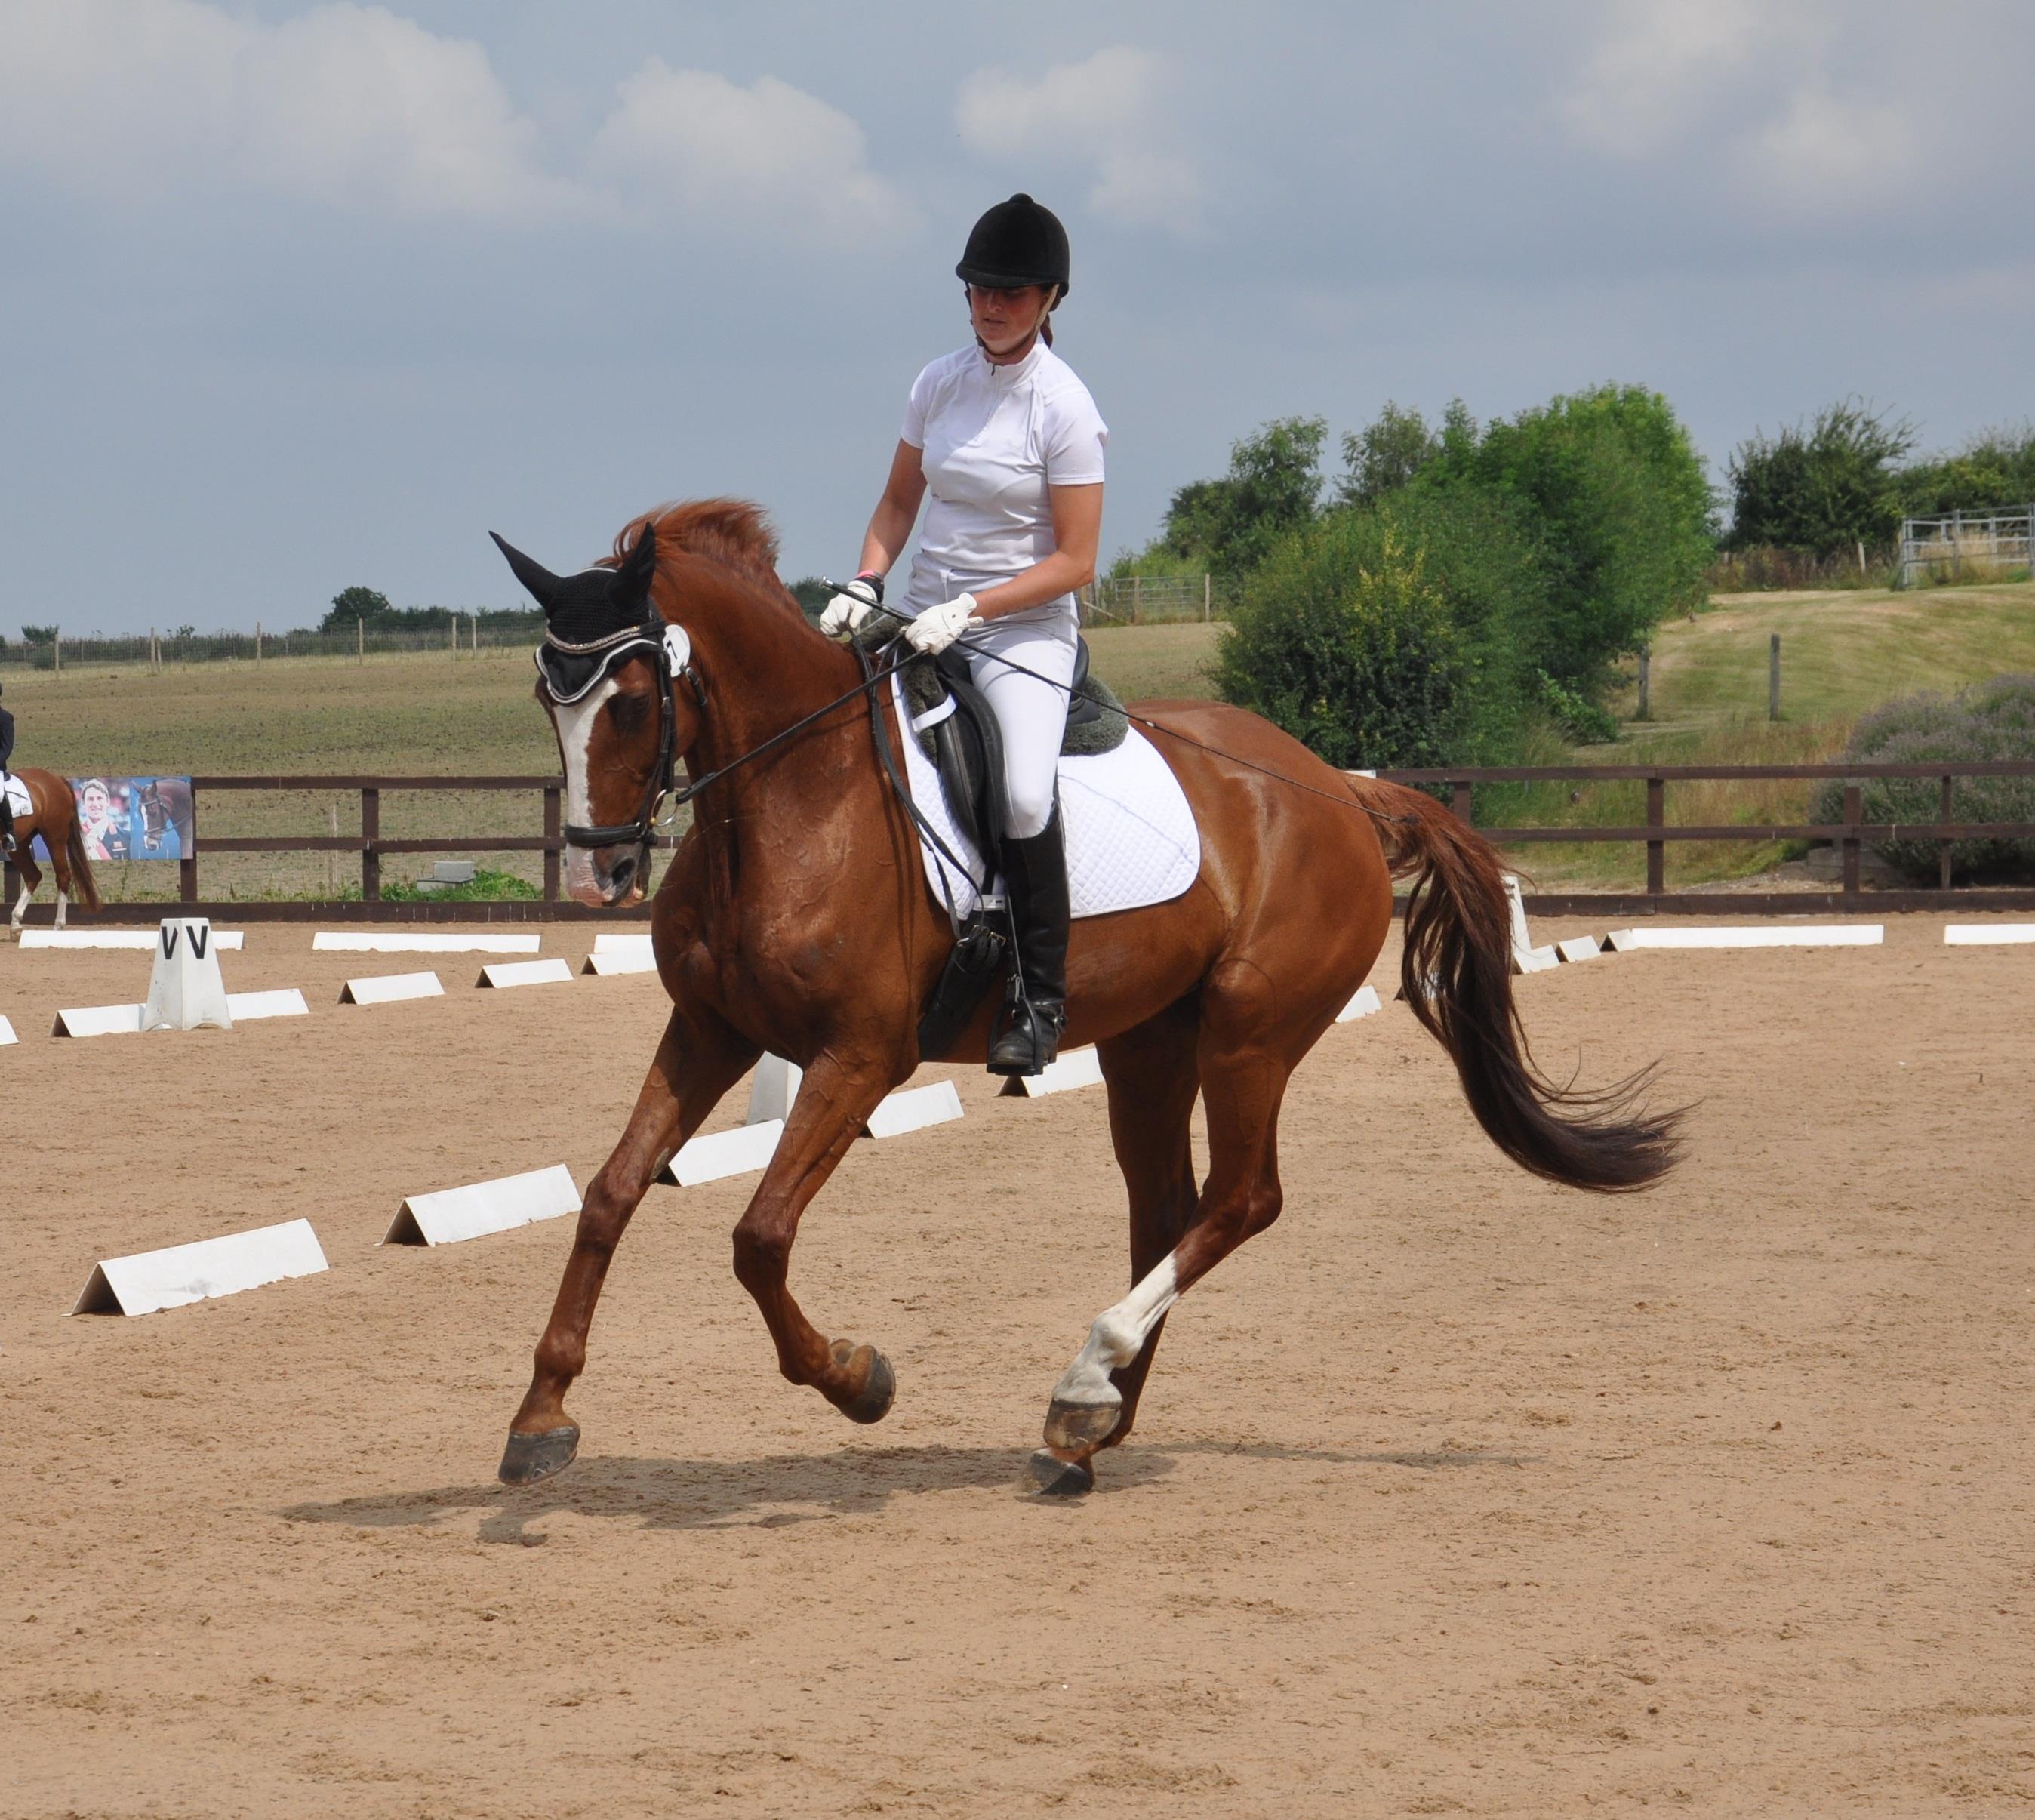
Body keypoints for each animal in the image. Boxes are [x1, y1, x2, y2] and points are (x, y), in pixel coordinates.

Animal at [5, 768, 101, 935]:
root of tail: (57, 778)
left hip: (55, 837)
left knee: (63, 877)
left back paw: (57, 927)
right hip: (20, 844)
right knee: (33, 875)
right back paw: (16, 925)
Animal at [490, 500, 1683, 1497]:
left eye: (630, 702)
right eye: (547, 698)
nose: (596, 872)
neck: (793, 797)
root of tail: (1341, 789)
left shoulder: (860, 1056)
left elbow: (759, 1234)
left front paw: (857, 1377)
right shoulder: (713, 1029)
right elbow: (610, 1193)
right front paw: (541, 1414)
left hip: (1250, 1036)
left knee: (1241, 1199)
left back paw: (1086, 1379)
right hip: (1149, 1043)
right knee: (1168, 1210)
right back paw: (1089, 1426)